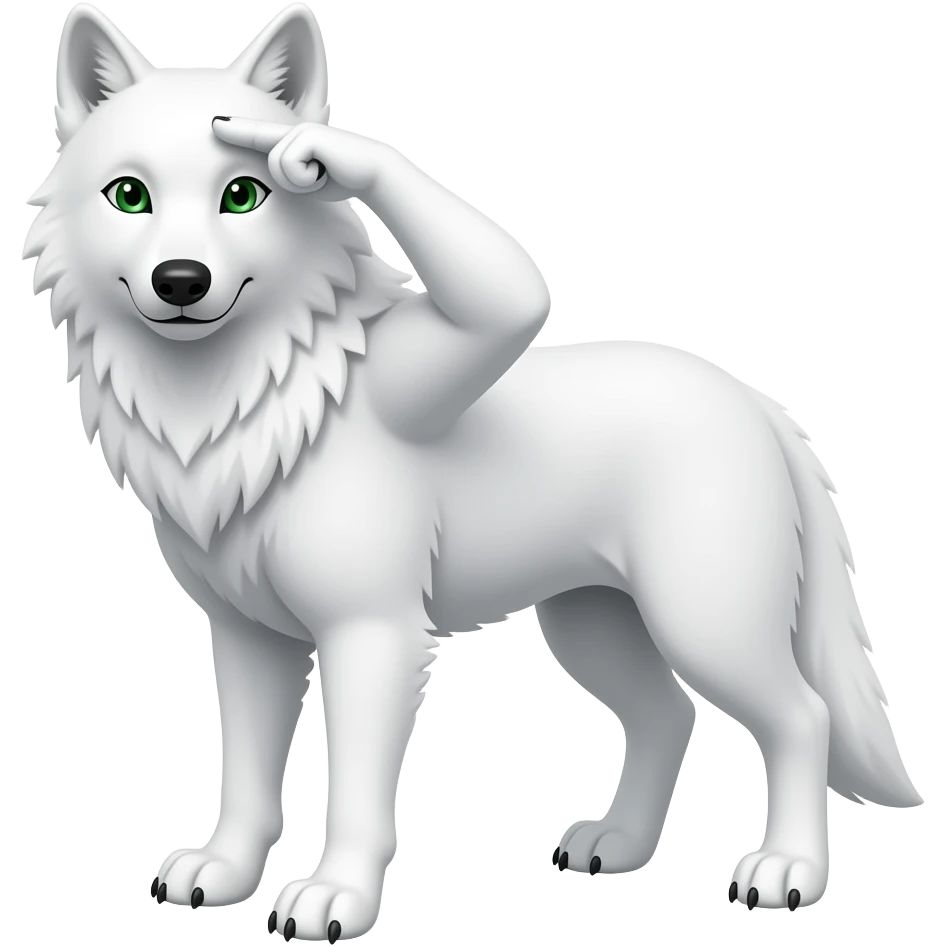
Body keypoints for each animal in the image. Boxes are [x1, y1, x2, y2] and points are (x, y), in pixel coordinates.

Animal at [27, 2, 922, 940]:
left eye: (245, 193)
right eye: (129, 194)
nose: (181, 280)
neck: (242, 404)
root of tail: (759, 402)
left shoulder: (372, 632)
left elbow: (353, 791)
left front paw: (336, 898)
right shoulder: (249, 639)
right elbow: (245, 780)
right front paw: (224, 875)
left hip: (706, 624)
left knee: (801, 717)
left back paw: (787, 873)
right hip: (593, 628)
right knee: (670, 714)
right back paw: (617, 847)